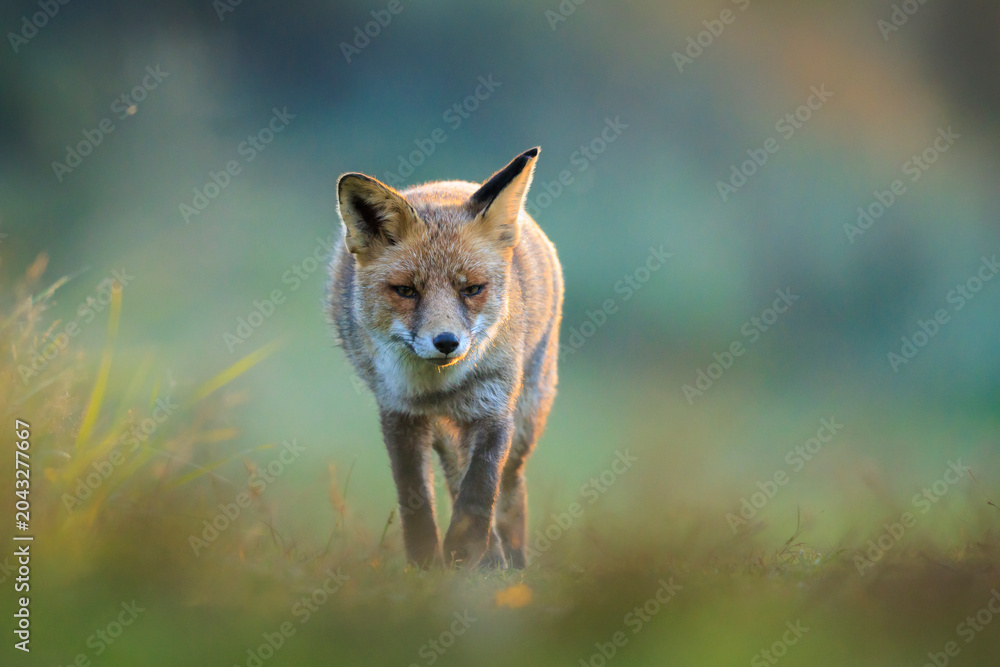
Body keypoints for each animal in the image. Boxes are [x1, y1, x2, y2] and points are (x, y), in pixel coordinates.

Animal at [327, 147, 563, 569]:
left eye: (472, 289)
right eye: (406, 290)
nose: (447, 342)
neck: (437, 387)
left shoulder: (494, 407)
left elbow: (479, 490)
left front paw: (464, 554)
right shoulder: (399, 412)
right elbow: (416, 499)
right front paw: (427, 565)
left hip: (526, 416)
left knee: (510, 488)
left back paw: (513, 560)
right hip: (445, 432)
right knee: (455, 473)